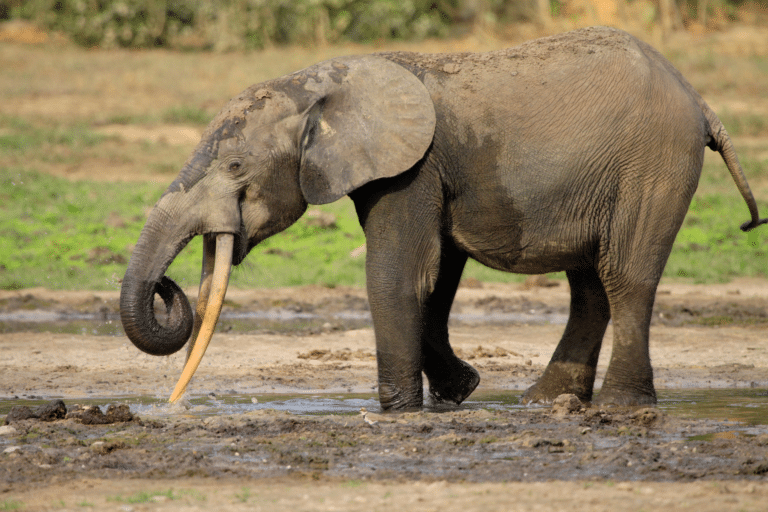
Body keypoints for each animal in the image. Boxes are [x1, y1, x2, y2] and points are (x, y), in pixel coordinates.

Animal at [120, 27, 768, 412]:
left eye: (235, 166)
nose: (169, 287)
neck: (322, 82)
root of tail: (699, 99)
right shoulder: (423, 171)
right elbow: (435, 277)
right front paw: (460, 393)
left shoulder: (413, 166)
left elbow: (398, 273)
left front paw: (399, 411)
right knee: (590, 284)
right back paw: (545, 402)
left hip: (651, 165)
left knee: (624, 276)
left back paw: (622, 407)